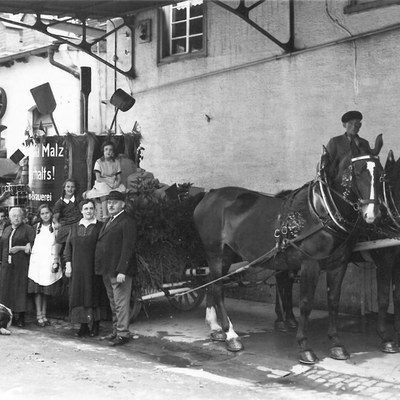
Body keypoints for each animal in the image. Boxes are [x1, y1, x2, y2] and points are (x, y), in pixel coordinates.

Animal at [194, 139, 384, 364]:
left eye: (381, 174)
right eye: (358, 172)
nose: (372, 214)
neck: (322, 211)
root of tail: (209, 194)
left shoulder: (339, 264)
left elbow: (333, 302)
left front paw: (336, 345)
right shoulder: (310, 264)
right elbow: (305, 303)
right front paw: (304, 347)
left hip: (226, 256)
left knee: (212, 284)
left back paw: (216, 328)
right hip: (215, 252)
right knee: (218, 289)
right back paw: (231, 335)